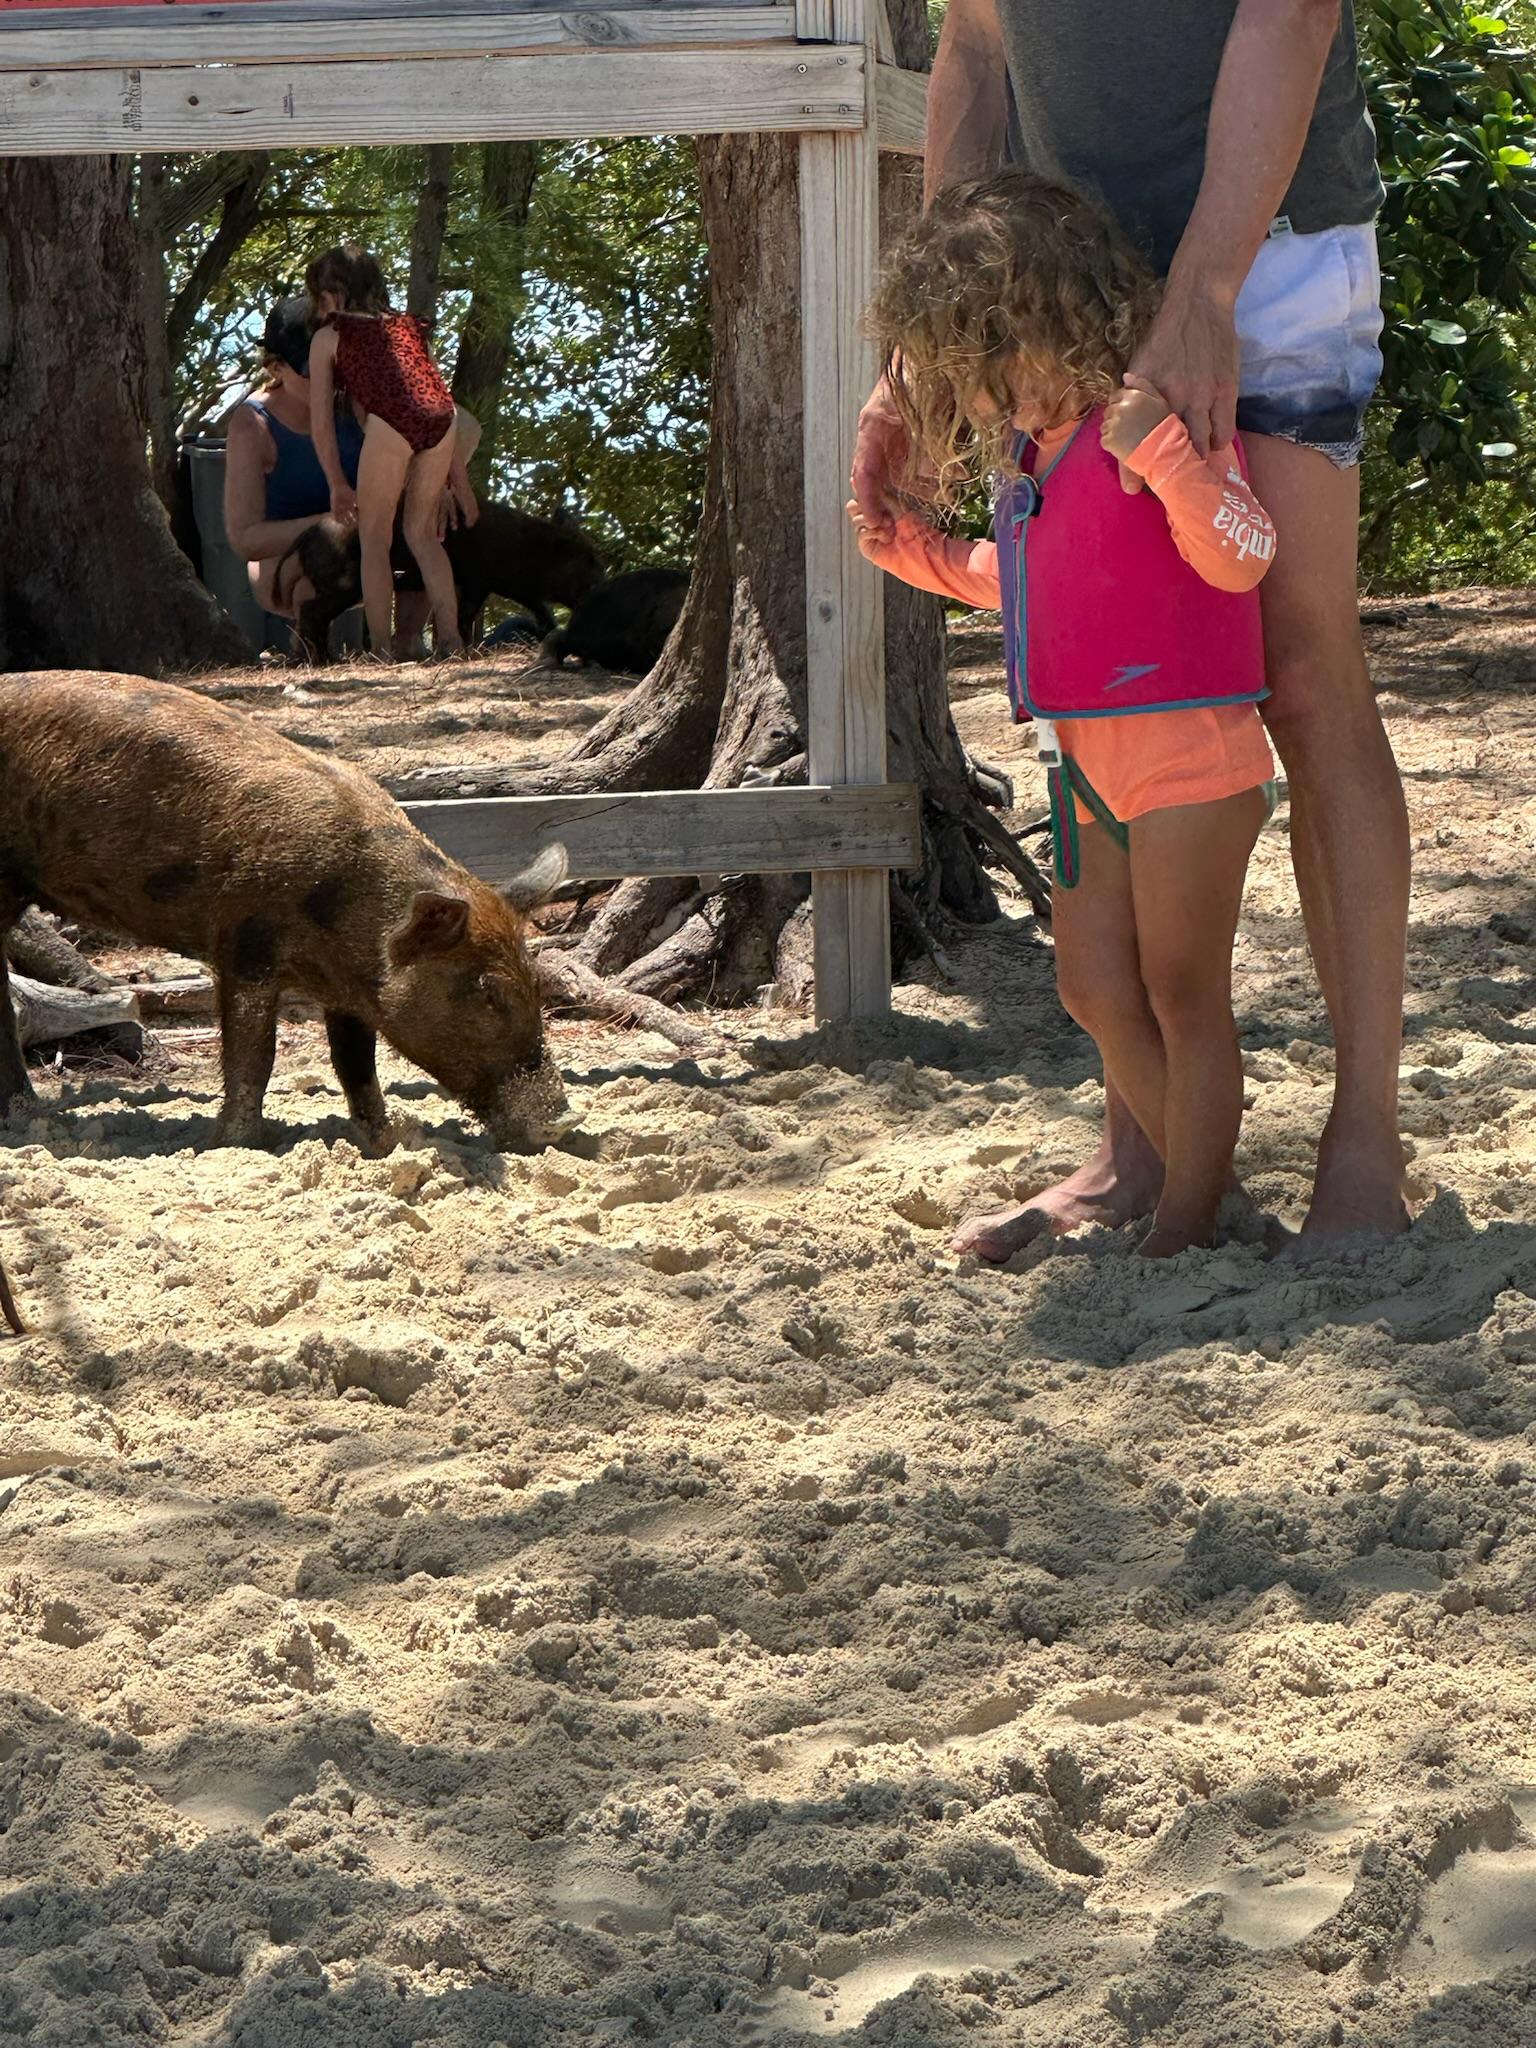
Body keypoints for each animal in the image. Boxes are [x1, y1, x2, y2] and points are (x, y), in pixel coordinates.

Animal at [0, 673, 568, 1153]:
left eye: (536, 983)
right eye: (487, 992)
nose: (564, 1118)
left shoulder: (347, 990)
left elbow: (356, 1064)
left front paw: (385, 1143)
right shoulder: (244, 942)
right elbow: (254, 1053)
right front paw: (236, 1145)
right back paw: (28, 1118)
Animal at [286, 501, 605, 659]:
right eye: (586, 559)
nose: (601, 581)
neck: (529, 548)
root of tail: (307, 535)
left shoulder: (516, 587)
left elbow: (542, 609)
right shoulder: (479, 581)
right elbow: (466, 614)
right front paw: (466, 650)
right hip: (345, 585)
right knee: (310, 611)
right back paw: (326, 659)